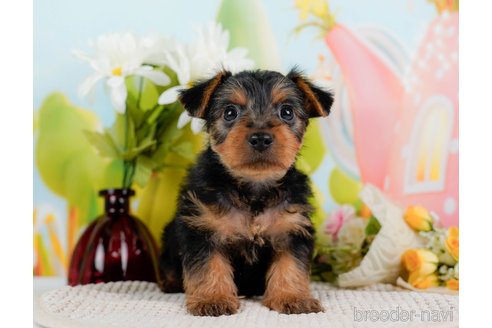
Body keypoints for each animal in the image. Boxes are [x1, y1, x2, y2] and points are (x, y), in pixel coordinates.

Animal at [160, 68, 332, 316]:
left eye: (287, 112)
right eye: (230, 112)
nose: (260, 138)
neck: (254, 189)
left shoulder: (292, 229)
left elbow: (291, 264)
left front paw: (293, 297)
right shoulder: (202, 227)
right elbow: (208, 265)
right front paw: (212, 299)